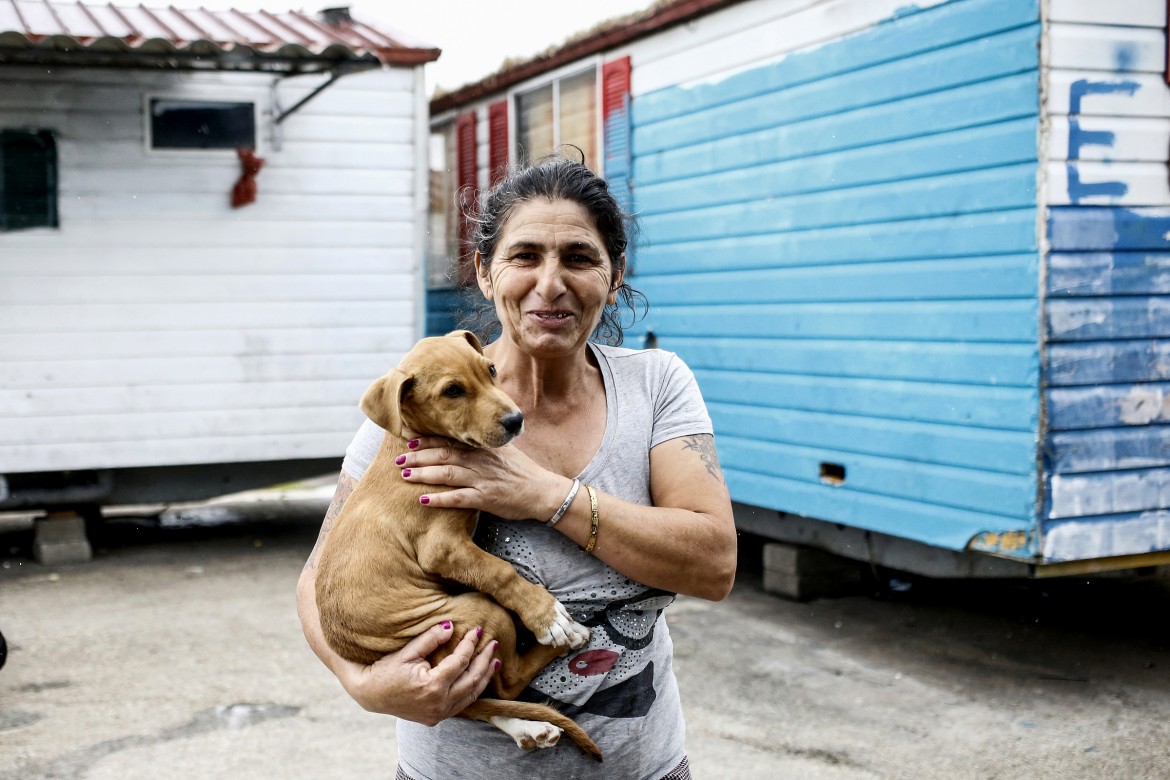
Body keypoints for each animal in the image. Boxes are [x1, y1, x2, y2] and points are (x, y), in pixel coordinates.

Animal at [315, 332, 599, 762]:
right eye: (452, 391)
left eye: (491, 370)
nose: (516, 420)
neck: (415, 442)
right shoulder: (443, 547)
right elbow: (499, 571)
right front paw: (546, 615)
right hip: (478, 610)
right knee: (506, 682)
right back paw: (569, 638)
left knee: (476, 702)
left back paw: (529, 727)